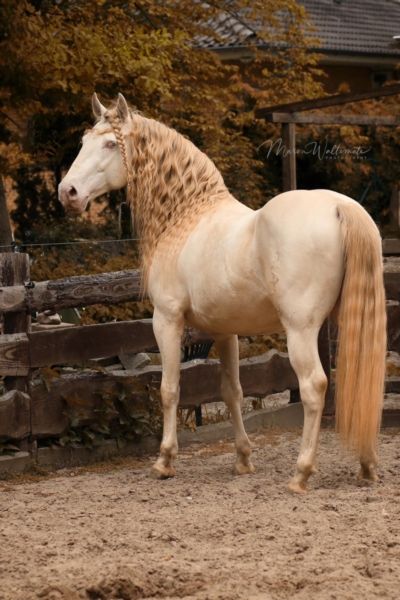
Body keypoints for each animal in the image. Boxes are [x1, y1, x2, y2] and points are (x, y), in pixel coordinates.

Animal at [57, 91, 386, 490]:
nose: (67, 192)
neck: (186, 217)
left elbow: (170, 390)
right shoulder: (226, 331)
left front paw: (164, 461)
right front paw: (243, 459)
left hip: (300, 330)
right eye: (83, 141)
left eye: (108, 144)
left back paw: (302, 472)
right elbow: (232, 391)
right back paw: (366, 465)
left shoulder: (166, 320)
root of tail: (339, 206)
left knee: (313, 387)